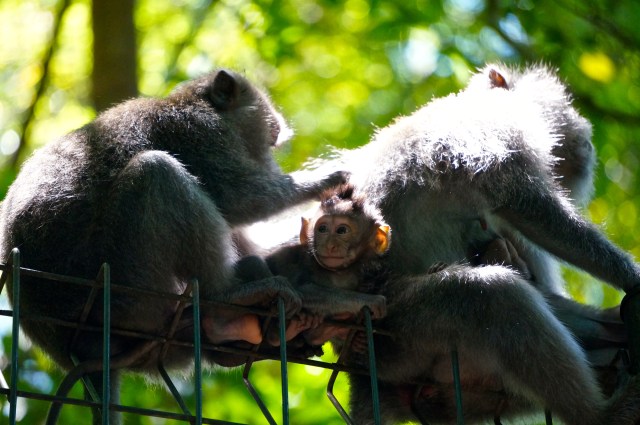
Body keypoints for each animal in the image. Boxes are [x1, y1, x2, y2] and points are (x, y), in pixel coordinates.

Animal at [0, 69, 348, 423]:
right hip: (131, 292)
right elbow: (240, 197)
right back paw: (228, 293)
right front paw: (326, 179)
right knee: (155, 171)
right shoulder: (199, 134)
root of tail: (81, 349)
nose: (272, 160)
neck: (189, 102)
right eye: (271, 137)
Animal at [294, 63, 639, 424]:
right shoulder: (501, 132)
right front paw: (630, 275)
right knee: (488, 295)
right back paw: (602, 414)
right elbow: (527, 205)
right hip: (392, 328)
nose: (588, 143)